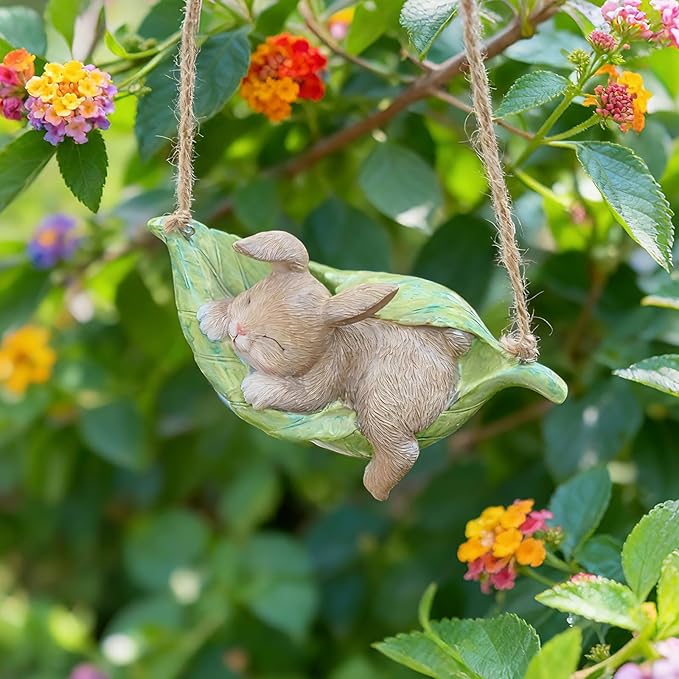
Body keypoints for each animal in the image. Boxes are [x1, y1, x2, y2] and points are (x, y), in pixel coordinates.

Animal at [197, 231, 473, 500]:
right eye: (250, 299)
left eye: (274, 342)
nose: (238, 331)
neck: (331, 340)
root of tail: (449, 350)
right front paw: (215, 315)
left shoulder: (331, 369)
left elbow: (304, 395)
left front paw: (259, 387)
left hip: (388, 397)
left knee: (401, 448)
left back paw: (375, 484)